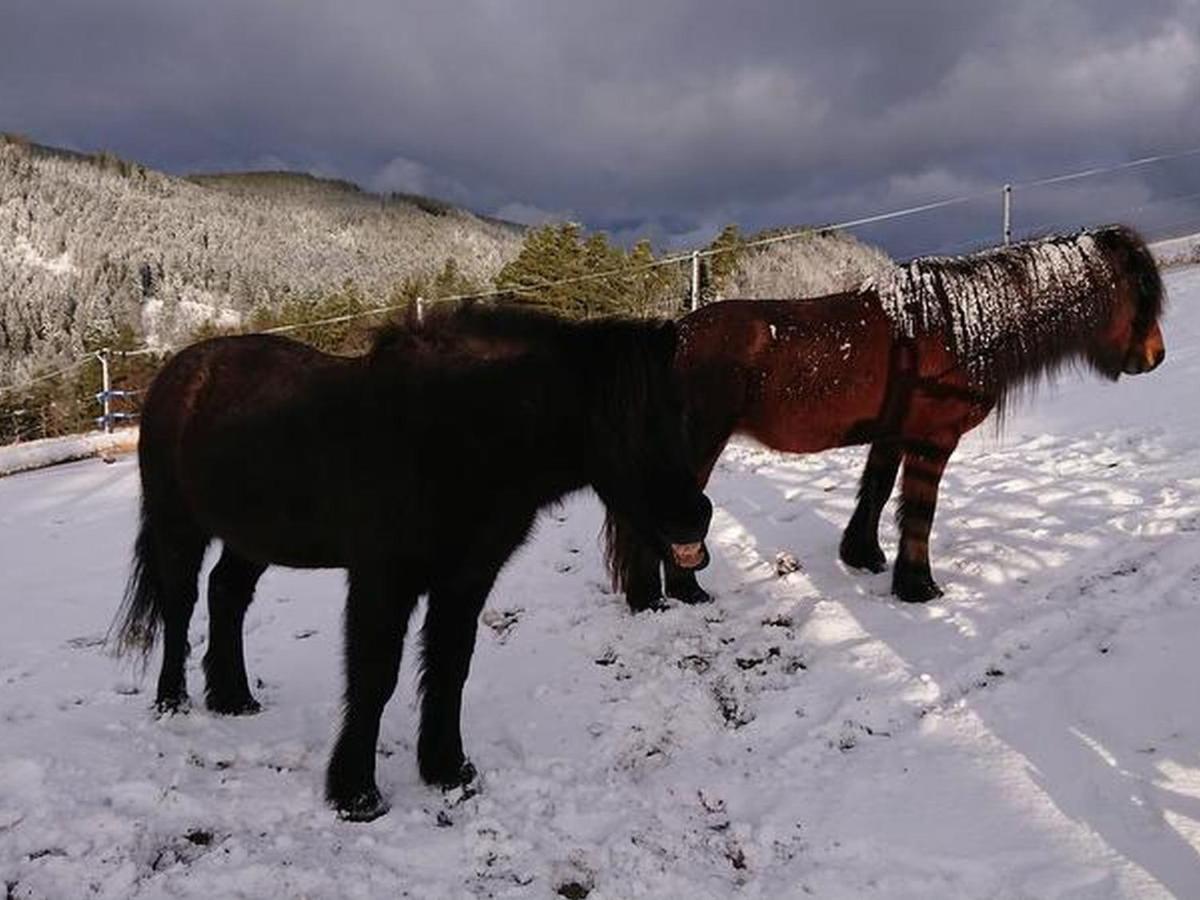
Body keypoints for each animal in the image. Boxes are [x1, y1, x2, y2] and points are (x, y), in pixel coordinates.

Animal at [110, 309, 710, 825]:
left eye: (678, 413)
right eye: (626, 423)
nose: (695, 518)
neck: (453, 434)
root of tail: (178, 373)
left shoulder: (466, 580)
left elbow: (449, 667)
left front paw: (447, 769)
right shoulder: (382, 580)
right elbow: (376, 675)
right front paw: (356, 794)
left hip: (251, 539)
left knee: (226, 595)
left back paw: (233, 698)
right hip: (178, 527)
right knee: (180, 604)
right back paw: (173, 702)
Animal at [609, 223, 1161, 609]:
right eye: (1138, 292)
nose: (1153, 357)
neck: (954, 329)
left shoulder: (892, 435)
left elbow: (875, 492)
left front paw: (863, 556)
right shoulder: (933, 441)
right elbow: (919, 512)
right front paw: (918, 586)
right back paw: (677, 594)